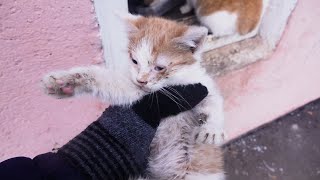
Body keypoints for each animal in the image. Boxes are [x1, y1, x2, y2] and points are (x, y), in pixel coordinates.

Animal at [40, 13, 225, 179]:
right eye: (135, 61)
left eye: (159, 67)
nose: (141, 80)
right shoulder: (135, 90)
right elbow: (109, 82)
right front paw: (65, 82)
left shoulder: (201, 83)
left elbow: (213, 99)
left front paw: (213, 128)